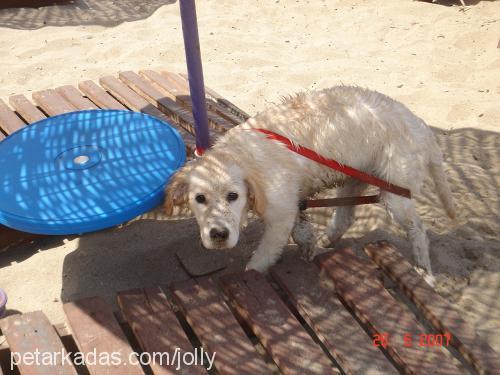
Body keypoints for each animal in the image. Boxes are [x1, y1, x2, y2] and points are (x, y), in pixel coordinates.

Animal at [165, 86, 458, 284]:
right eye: (199, 199)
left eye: (233, 196)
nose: (218, 235)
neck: (244, 157)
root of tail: (423, 128)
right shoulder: (291, 203)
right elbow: (301, 230)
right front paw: (309, 244)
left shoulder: (280, 214)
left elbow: (260, 260)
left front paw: (252, 274)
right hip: (355, 176)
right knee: (346, 216)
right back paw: (329, 239)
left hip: (395, 189)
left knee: (418, 230)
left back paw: (425, 272)